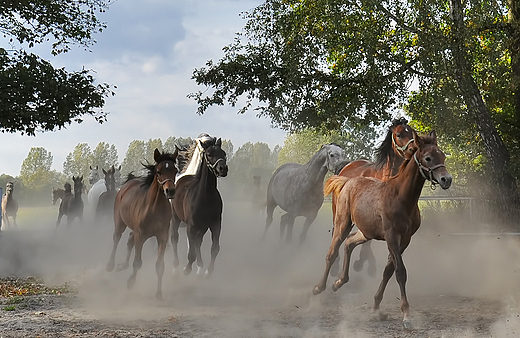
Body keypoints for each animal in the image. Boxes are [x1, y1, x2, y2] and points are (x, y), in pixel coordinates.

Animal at [105, 149, 179, 302]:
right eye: (159, 171)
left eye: (175, 170)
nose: (170, 191)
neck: (154, 208)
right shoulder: (141, 236)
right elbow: (137, 262)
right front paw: (130, 282)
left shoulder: (162, 237)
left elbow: (160, 266)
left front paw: (158, 294)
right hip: (119, 222)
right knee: (117, 238)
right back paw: (111, 265)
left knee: (129, 239)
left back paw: (122, 265)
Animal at [171, 135, 228, 278]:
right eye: (209, 154)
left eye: (223, 154)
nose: (223, 169)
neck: (205, 196)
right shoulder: (191, 226)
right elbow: (191, 252)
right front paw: (187, 269)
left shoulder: (215, 224)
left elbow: (215, 248)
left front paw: (208, 271)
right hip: (175, 218)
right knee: (175, 237)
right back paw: (176, 266)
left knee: (198, 242)